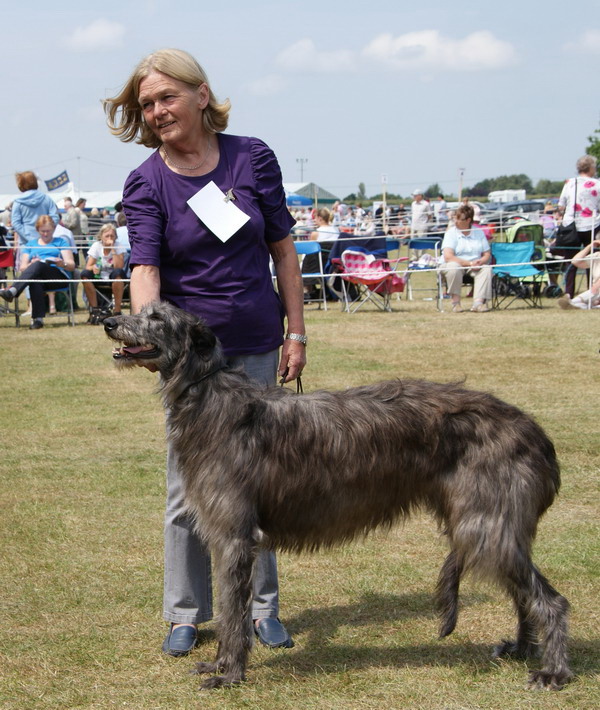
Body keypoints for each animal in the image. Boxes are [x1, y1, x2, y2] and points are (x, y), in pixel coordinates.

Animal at [103, 304, 572, 692]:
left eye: (157, 318)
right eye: (142, 309)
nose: (107, 320)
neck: (210, 398)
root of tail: (537, 434)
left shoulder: (234, 537)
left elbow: (234, 614)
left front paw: (230, 674)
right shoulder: (226, 536)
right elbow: (228, 609)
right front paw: (218, 665)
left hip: (485, 525)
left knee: (550, 600)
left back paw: (552, 671)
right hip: (488, 523)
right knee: (524, 593)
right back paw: (521, 649)